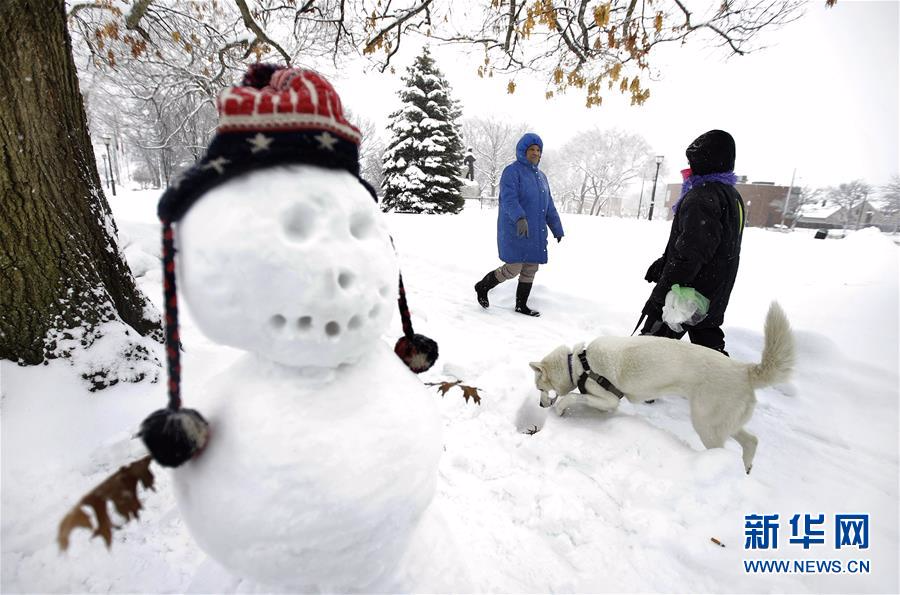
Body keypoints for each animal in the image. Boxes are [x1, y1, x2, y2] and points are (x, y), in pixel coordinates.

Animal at [528, 302, 796, 474]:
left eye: (539, 386)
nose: (540, 404)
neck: (578, 363)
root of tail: (745, 370)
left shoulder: (608, 398)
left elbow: (573, 397)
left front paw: (561, 409)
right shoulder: (606, 402)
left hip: (706, 424)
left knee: (723, 448)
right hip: (723, 422)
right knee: (752, 441)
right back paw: (746, 468)